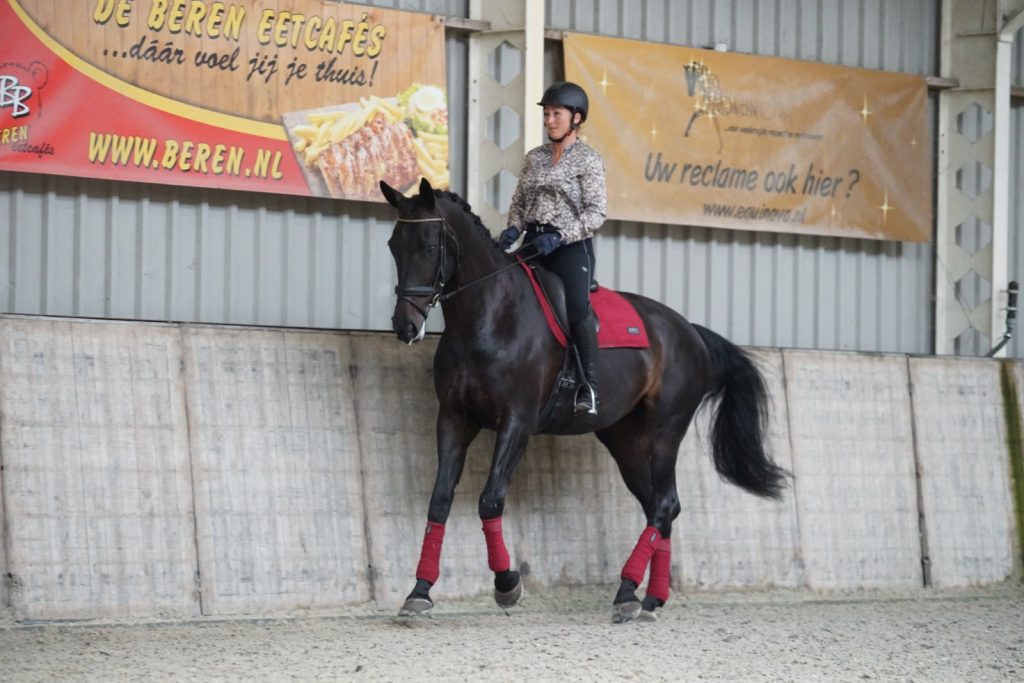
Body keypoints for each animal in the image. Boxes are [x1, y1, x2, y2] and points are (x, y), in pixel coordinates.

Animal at [380, 178, 786, 626]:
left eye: (428, 247)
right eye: (393, 245)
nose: (405, 326)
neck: (489, 316)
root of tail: (690, 332)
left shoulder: (517, 422)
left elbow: (490, 499)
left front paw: (507, 584)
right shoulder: (454, 419)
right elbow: (439, 501)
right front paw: (419, 592)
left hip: (666, 429)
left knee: (664, 503)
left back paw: (626, 593)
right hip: (626, 440)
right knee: (662, 506)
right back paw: (650, 599)